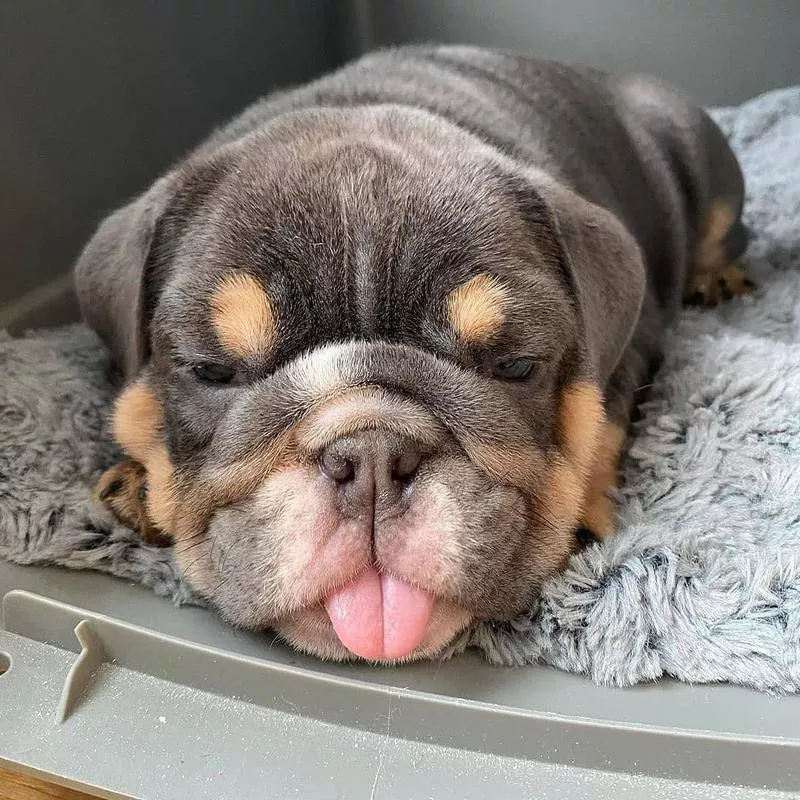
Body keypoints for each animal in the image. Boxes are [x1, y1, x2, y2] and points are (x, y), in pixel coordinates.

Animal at [76, 43, 752, 664]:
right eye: (214, 371)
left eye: (515, 367)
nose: (372, 452)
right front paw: (139, 481)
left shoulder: (632, 347)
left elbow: (601, 430)